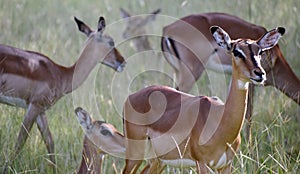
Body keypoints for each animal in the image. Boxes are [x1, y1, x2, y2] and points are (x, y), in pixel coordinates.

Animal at [0, 15, 125, 171]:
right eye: (111, 42)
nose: (123, 62)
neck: (61, 74)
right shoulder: (33, 107)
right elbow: (20, 141)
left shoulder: (41, 111)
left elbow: (50, 142)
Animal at [122, 25, 284, 173]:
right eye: (236, 51)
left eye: (260, 51)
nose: (259, 73)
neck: (221, 121)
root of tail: (131, 97)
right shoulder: (202, 164)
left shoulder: (226, 166)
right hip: (135, 156)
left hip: (158, 161)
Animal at [162, 12, 300, 139]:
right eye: (237, 52)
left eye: (260, 52)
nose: (260, 73)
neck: (275, 58)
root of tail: (167, 29)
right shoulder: (251, 82)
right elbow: (248, 113)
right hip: (191, 74)